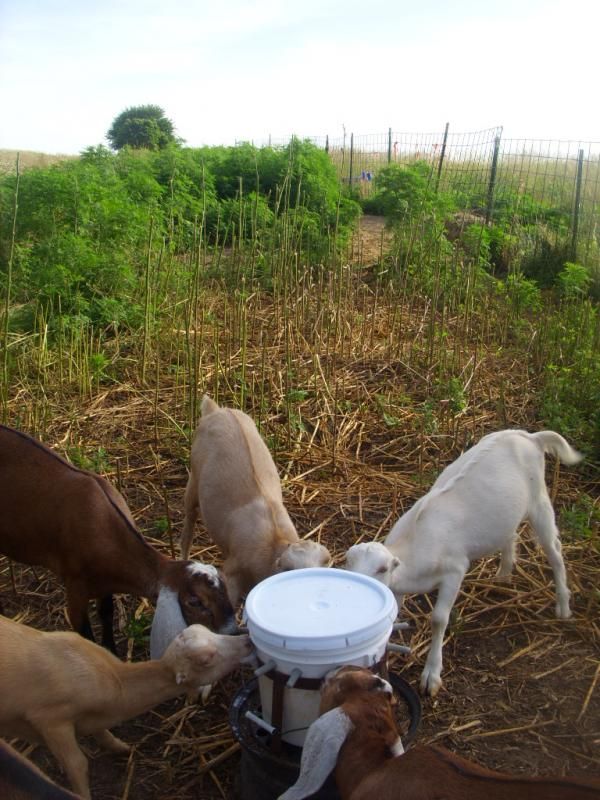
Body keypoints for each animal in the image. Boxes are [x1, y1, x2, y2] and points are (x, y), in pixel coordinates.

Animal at [0, 425, 237, 652]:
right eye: (195, 601)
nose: (233, 633)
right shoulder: (74, 587)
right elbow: (84, 633)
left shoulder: (105, 584)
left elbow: (106, 613)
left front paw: (112, 649)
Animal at [0, 614, 251, 799]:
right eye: (206, 659)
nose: (247, 640)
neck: (117, 683)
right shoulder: (51, 721)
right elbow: (77, 764)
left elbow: (101, 733)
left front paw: (121, 747)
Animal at [181, 395, 330, 605]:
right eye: (290, 572)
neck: (275, 542)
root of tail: (218, 410)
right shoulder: (232, 574)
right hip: (193, 480)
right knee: (188, 528)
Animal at [345, 429, 582, 696]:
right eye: (347, 562)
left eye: (382, 568)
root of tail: (530, 436)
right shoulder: (397, 586)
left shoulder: (455, 570)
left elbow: (439, 619)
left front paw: (432, 675)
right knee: (511, 534)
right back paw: (503, 575)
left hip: (539, 501)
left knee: (555, 551)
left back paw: (563, 606)